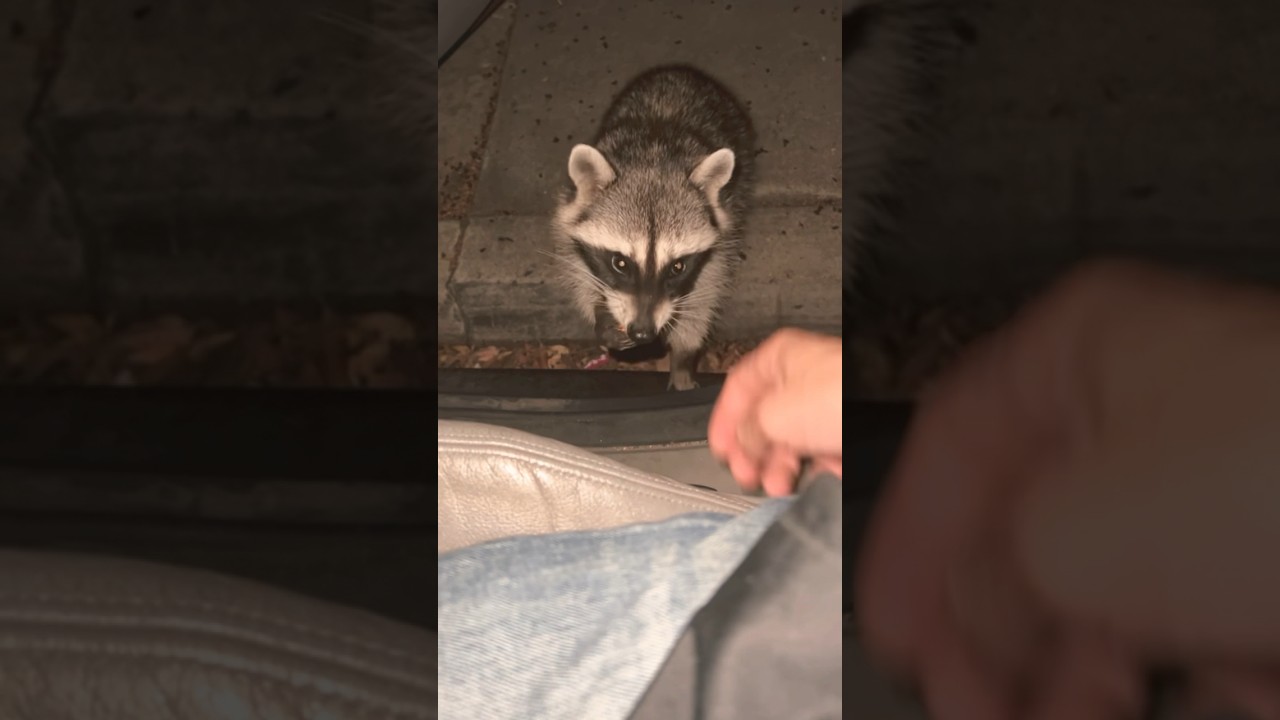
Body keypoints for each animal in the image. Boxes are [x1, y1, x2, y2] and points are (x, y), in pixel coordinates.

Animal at [551, 65, 755, 391]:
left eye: (677, 267)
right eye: (620, 263)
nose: (643, 333)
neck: (653, 159)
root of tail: (680, 69)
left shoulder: (722, 232)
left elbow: (704, 294)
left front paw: (683, 358)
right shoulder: (568, 216)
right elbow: (581, 273)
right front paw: (601, 311)